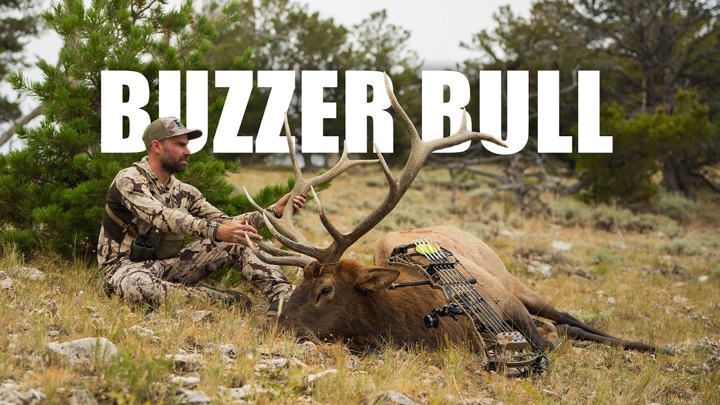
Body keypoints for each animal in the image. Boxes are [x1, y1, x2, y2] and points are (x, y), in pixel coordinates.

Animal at [242, 74, 673, 361]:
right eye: (299, 283)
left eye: (326, 290)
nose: (274, 325)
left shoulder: (507, 303)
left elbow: (550, 337)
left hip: (516, 282)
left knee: (568, 316)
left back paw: (658, 345)